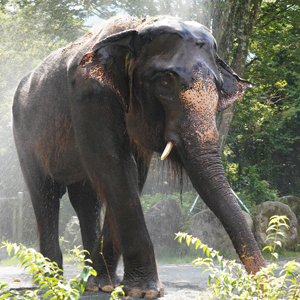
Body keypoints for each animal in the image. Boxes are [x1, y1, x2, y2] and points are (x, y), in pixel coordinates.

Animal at [12, 15, 264, 298]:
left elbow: (133, 174)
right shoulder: (90, 97)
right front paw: (144, 291)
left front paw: (105, 285)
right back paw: (50, 282)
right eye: (165, 83)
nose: (263, 285)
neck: (134, 29)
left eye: (219, 89)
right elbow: (115, 167)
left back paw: (90, 278)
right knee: (44, 193)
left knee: (86, 199)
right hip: (23, 132)